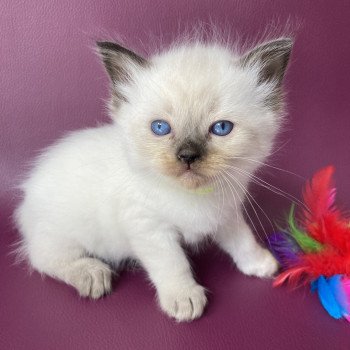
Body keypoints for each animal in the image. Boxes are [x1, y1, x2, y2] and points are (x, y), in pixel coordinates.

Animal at [13, 37, 292, 322]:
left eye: (221, 128)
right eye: (160, 128)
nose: (187, 156)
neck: (193, 196)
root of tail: (27, 194)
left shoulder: (225, 214)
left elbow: (243, 241)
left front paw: (261, 264)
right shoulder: (149, 228)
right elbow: (173, 263)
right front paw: (184, 299)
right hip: (65, 235)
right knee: (42, 257)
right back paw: (92, 274)